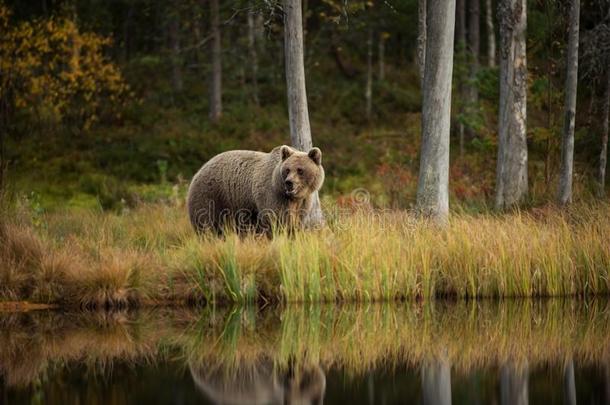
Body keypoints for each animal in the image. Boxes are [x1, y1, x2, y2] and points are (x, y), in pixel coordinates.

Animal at [186, 144, 324, 234]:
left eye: (300, 170)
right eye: (287, 170)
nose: (289, 182)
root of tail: (199, 170)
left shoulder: (303, 202)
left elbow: (296, 223)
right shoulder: (273, 196)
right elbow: (276, 220)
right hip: (211, 195)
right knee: (206, 224)